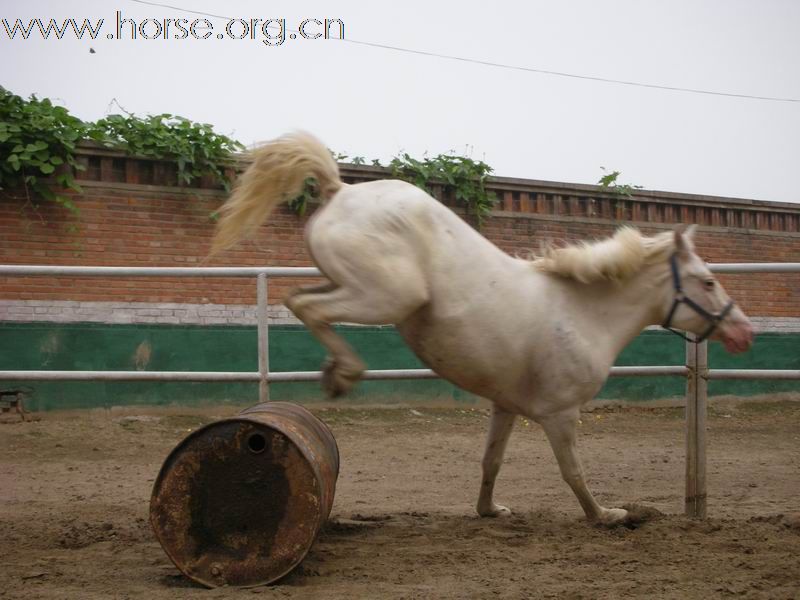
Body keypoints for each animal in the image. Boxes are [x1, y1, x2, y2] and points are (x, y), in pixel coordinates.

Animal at [211, 131, 752, 524]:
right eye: (708, 282)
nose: (743, 332)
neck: (581, 315)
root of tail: (341, 190)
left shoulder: (506, 406)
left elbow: (491, 460)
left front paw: (489, 510)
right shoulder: (560, 414)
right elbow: (573, 471)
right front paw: (607, 515)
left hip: (350, 284)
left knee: (298, 299)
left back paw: (333, 370)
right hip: (389, 296)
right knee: (309, 306)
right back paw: (345, 373)